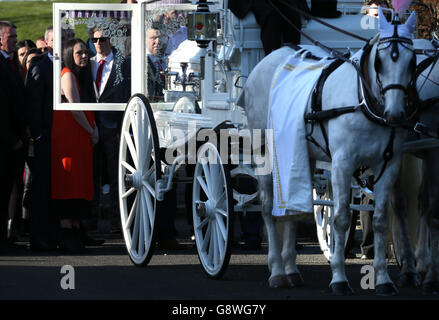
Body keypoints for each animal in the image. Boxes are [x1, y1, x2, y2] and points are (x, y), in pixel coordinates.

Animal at [239, 8, 418, 296]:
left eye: (412, 60)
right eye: (379, 61)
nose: (395, 114)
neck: (364, 101)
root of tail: (271, 57)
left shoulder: (389, 165)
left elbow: (380, 219)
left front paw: (383, 279)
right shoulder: (342, 164)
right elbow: (341, 218)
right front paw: (339, 278)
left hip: (299, 154)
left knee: (292, 208)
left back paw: (291, 270)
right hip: (263, 151)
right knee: (267, 207)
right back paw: (277, 271)